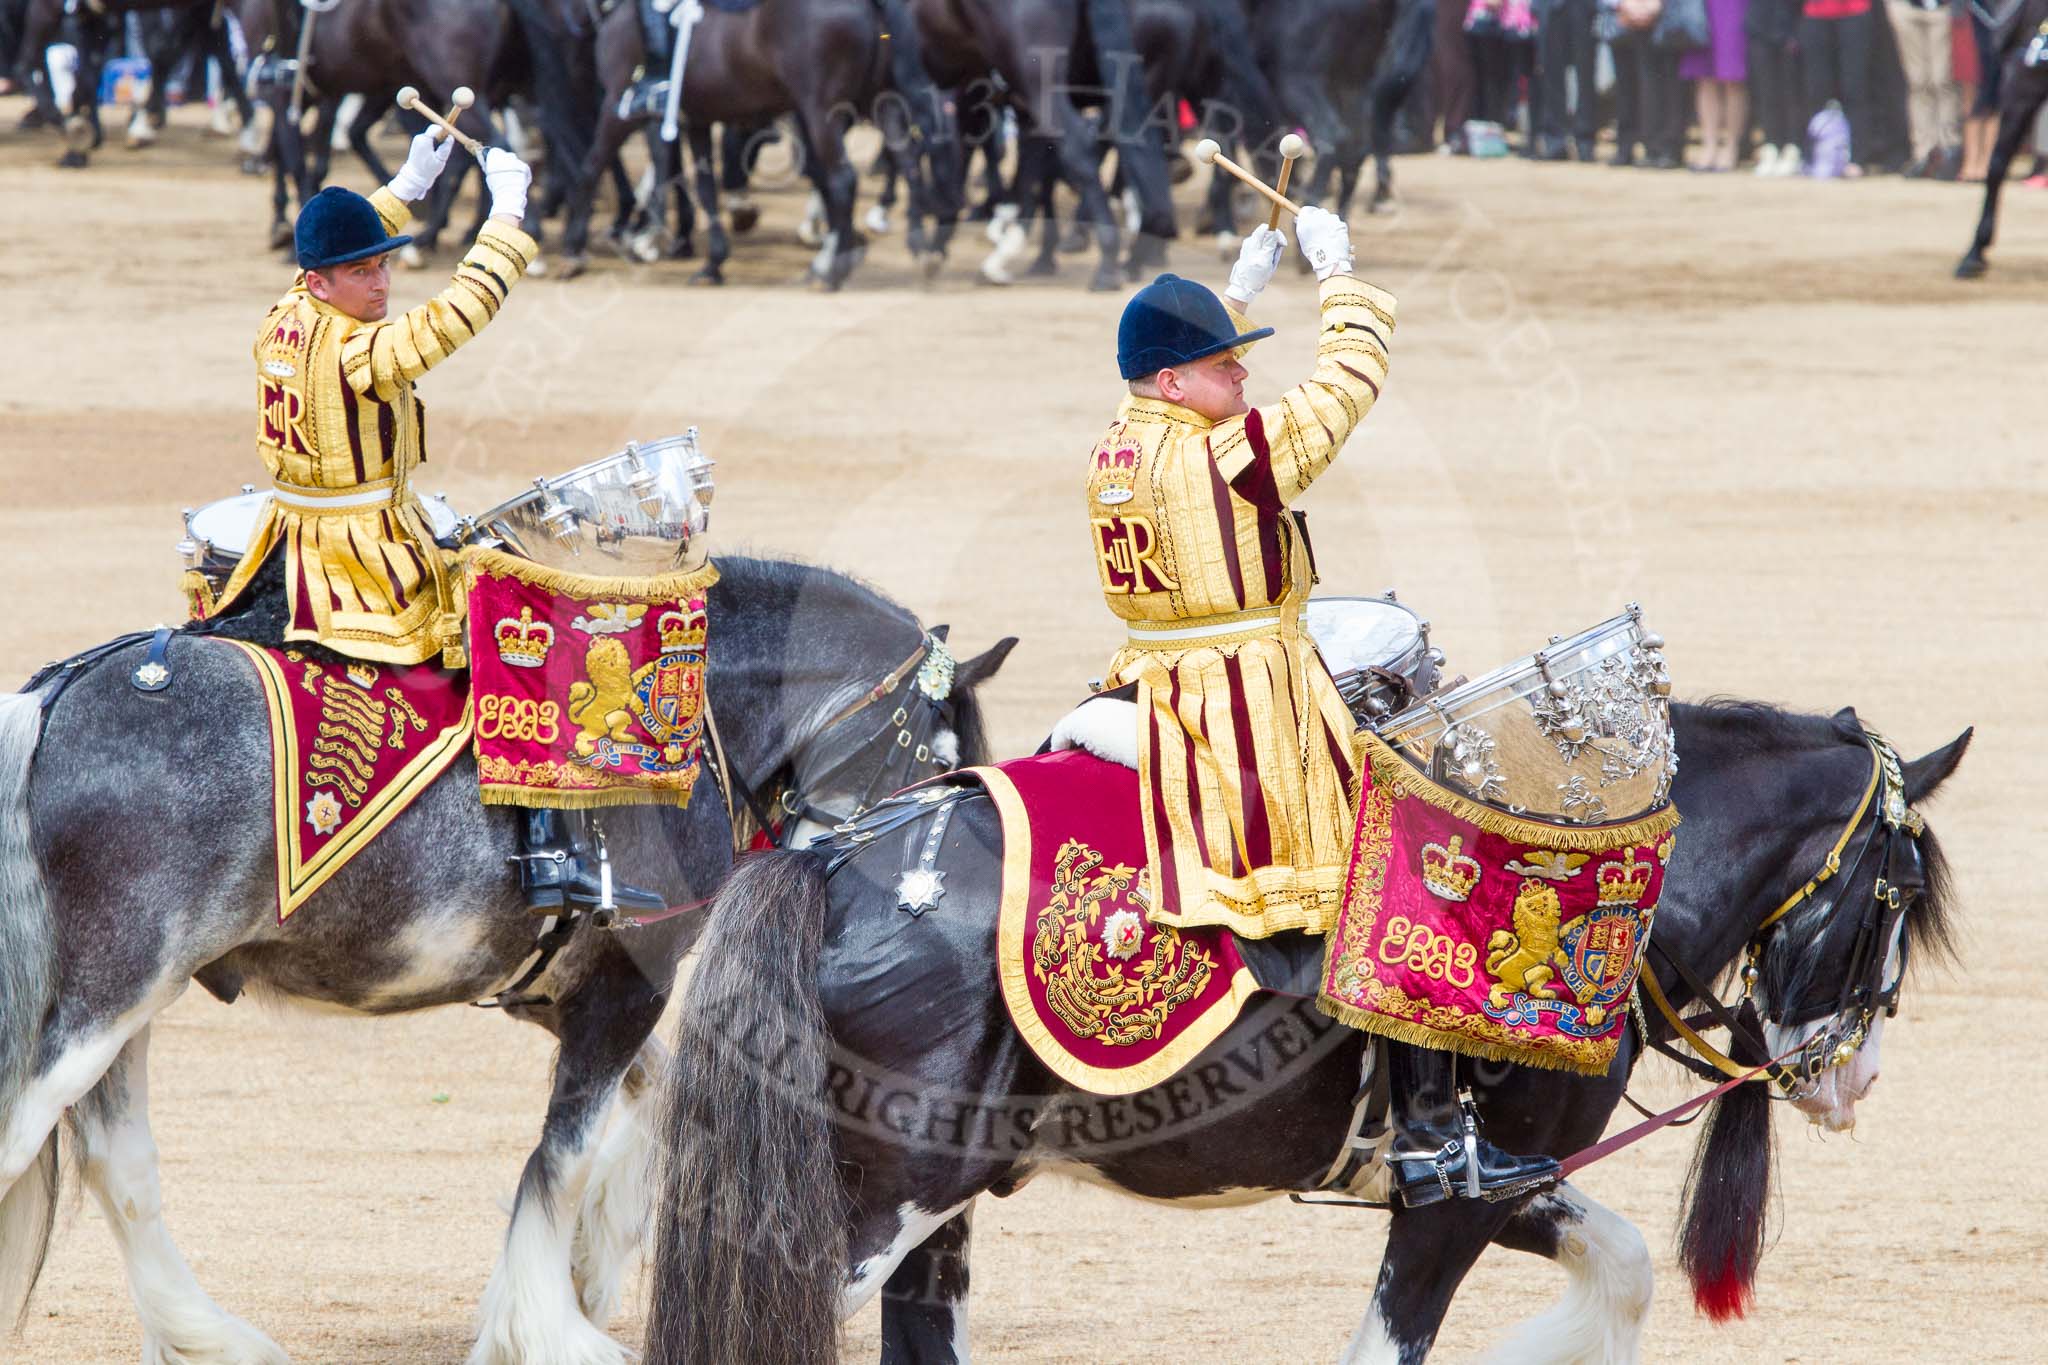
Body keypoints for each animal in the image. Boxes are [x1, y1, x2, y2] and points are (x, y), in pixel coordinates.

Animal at [0, 556, 1015, 1365]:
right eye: (938, 748)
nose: (920, 866)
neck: (684, 722)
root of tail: (58, 698)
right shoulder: (628, 987)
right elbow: (561, 1153)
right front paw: (550, 1327)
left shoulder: (566, 992)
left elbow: (646, 1103)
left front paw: (590, 1266)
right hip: (106, 1002)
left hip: (130, 1006)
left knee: (121, 1164)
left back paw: (207, 1338)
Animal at [647, 699, 1957, 1358]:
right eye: (1896, 896)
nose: (1852, 1078)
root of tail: (827, 865)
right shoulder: (1455, 1199)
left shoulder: (1499, 1177)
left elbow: (1623, 1268)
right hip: (873, 1201)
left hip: (943, 1202)